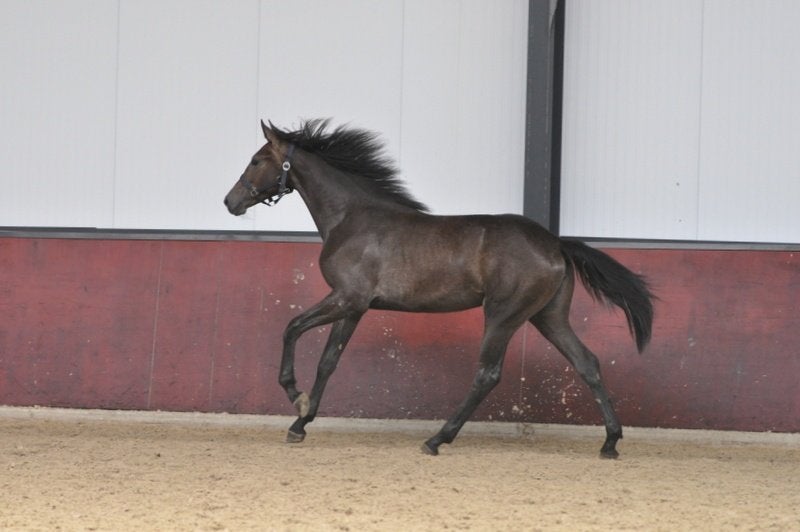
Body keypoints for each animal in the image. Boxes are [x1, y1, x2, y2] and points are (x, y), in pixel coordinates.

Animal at [224, 119, 654, 458]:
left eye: (257, 160)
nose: (231, 202)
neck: (352, 218)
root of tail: (556, 244)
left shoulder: (345, 298)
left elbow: (292, 328)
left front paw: (294, 396)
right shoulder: (355, 307)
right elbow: (328, 361)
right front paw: (300, 423)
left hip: (503, 315)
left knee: (487, 374)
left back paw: (437, 439)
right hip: (548, 317)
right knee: (587, 363)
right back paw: (610, 442)